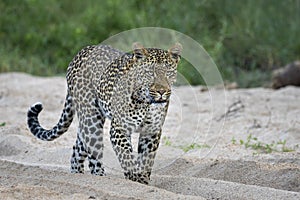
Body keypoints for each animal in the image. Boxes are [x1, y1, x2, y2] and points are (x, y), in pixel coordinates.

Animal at [27, 42, 182, 184]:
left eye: (168, 72)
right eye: (150, 73)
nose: (162, 92)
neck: (147, 102)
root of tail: (81, 51)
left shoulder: (152, 131)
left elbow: (146, 160)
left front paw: (143, 181)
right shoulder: (119, 129)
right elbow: (127, 157)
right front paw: (135, 179)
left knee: (78, 147)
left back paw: (77, 175)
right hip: (91, 118)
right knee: (92, 153)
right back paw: (100, 177)